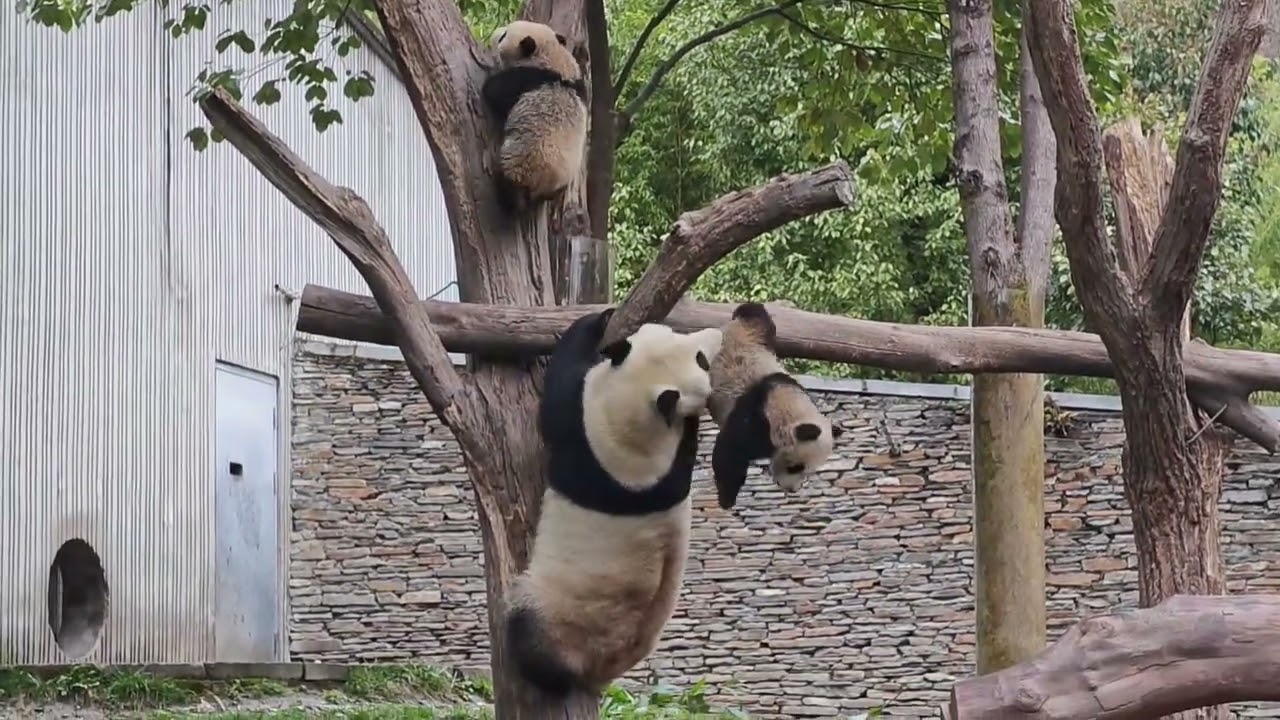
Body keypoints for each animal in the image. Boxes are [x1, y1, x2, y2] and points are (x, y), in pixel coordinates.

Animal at [503, 307, 723, 696]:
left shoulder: (584, 426)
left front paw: (594, 320)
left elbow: (557, 394)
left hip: (559, 614)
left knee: (529, 632)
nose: (717, 336)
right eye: (700, 357)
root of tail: (600, 671)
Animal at [707, 302, 843, 510]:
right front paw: (727, 498)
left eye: (809, 471)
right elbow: (729, 452)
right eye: (795, 467)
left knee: (757, 315)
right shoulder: (756, 419)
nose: (793, 489)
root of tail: (731, 326)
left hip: (760, 333)